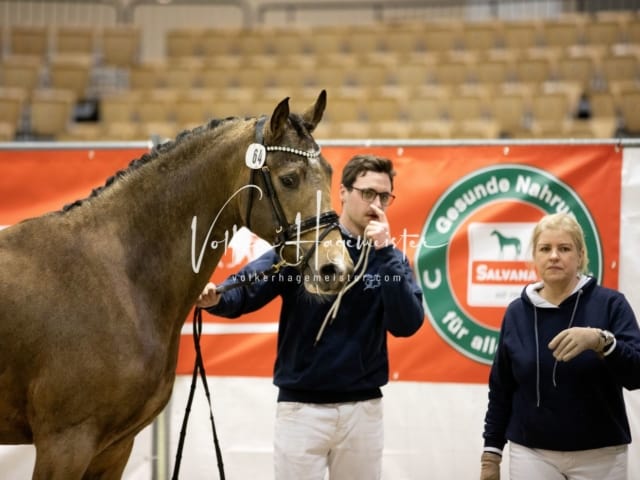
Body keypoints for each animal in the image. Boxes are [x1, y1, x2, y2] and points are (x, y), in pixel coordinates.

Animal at [0, 91, 352, 480]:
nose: (335, 268)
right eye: (289, 179)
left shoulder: (113, 449)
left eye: (330, 173)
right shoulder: (65, 444)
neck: (117, 278)